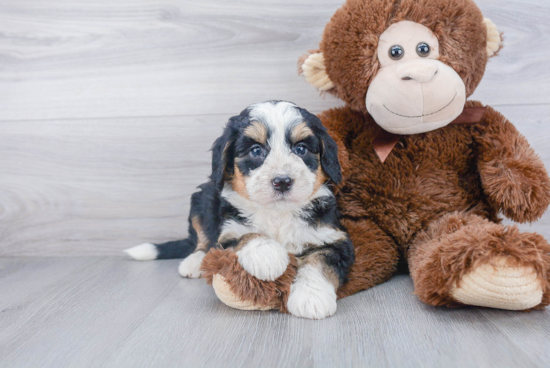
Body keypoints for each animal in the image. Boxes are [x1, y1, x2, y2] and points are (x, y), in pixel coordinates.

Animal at [125, 100, 356, 320]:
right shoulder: (228, 232)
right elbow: (246, 236)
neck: (278, 214)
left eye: (300, 149)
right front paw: (268, 256)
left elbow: (319, 262)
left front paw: (311, 297)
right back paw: (193, 262)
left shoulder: (333, 238)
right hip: (201, 198)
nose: (282, 181)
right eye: (256, 150)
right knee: (201, 239)